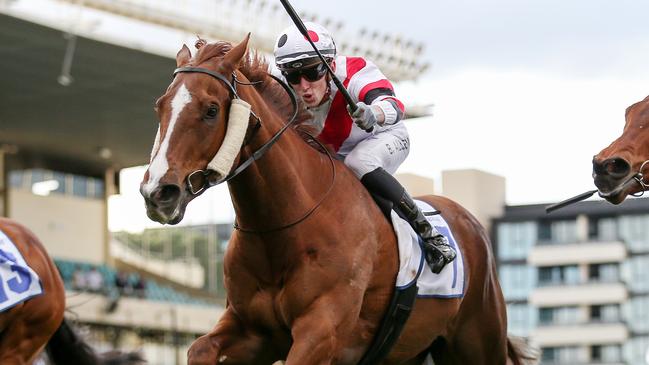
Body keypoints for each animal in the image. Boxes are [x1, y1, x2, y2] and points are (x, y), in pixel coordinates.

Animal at [139, 35, 536, 362]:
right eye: (160, 106)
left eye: (210, 110)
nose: (157, 192)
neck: (282, 229)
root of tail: (470, 222)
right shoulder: (251, 330)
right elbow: (199, 348)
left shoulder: (322, 332)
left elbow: (385, 99)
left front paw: (366, 112)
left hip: (478, 339)